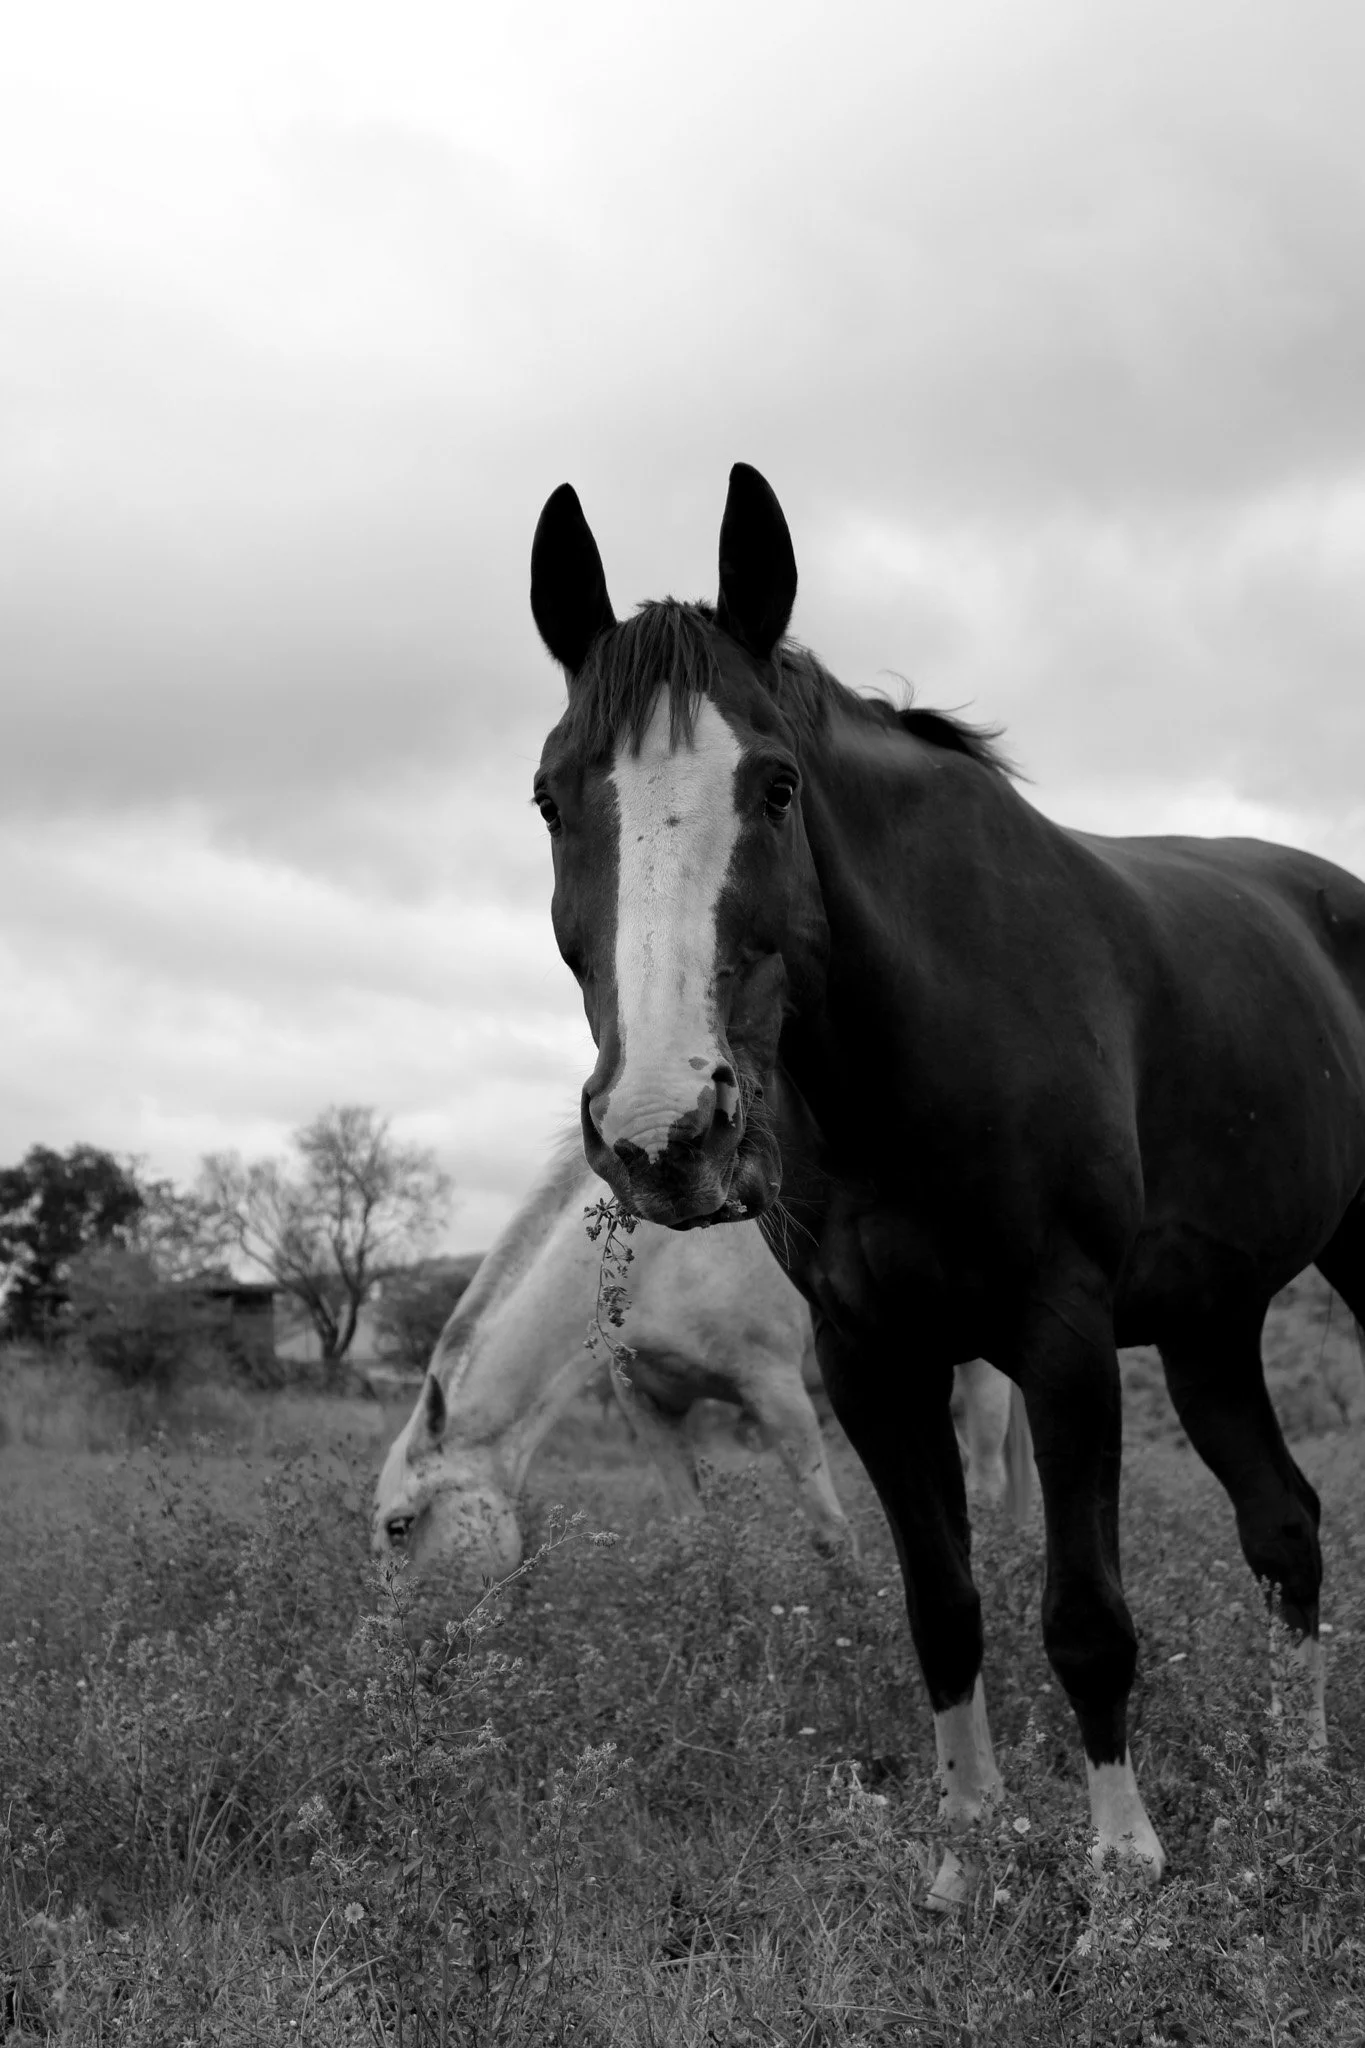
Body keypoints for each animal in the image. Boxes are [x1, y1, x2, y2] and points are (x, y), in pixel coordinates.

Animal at [373, 1136, 1031, 1600]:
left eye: (398, 1527)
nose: (399, 1648)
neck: (666, 1255)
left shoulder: (776, 1392)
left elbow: (832, 1538)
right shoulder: (651, 1408)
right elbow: (692, 1535)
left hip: (975, 1372)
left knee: (989, 1482)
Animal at [528, 461, 1365, 1898]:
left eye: (777, 786)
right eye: (548, 798)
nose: (664, 1134)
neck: (922, 1037)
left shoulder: (1061, 1337)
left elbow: (1082, 1615)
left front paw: (1121, 1868)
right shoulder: (873, 1353)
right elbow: (941, 1601)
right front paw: (967, 1847)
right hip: (1210, 1324)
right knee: (1284, 1524)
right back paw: (1295, 1787)